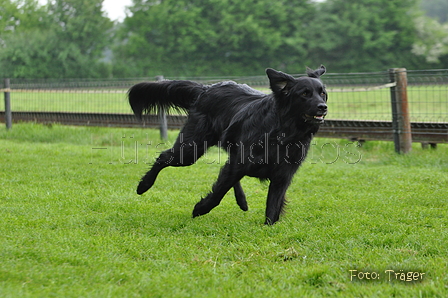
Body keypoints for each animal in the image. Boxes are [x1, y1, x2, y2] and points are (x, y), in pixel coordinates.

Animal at [128, 65, 328, 224]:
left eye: (323, 93)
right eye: (304, 93)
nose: (323, 107)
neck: (283, 133)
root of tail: (206, 88)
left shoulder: (283, 176)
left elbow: (272, 207)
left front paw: (268, 227)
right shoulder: (239, 164)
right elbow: (218, 193)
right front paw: (200, 208)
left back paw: (242, 201)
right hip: (191, 150)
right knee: (164, 156)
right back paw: (143, 185)